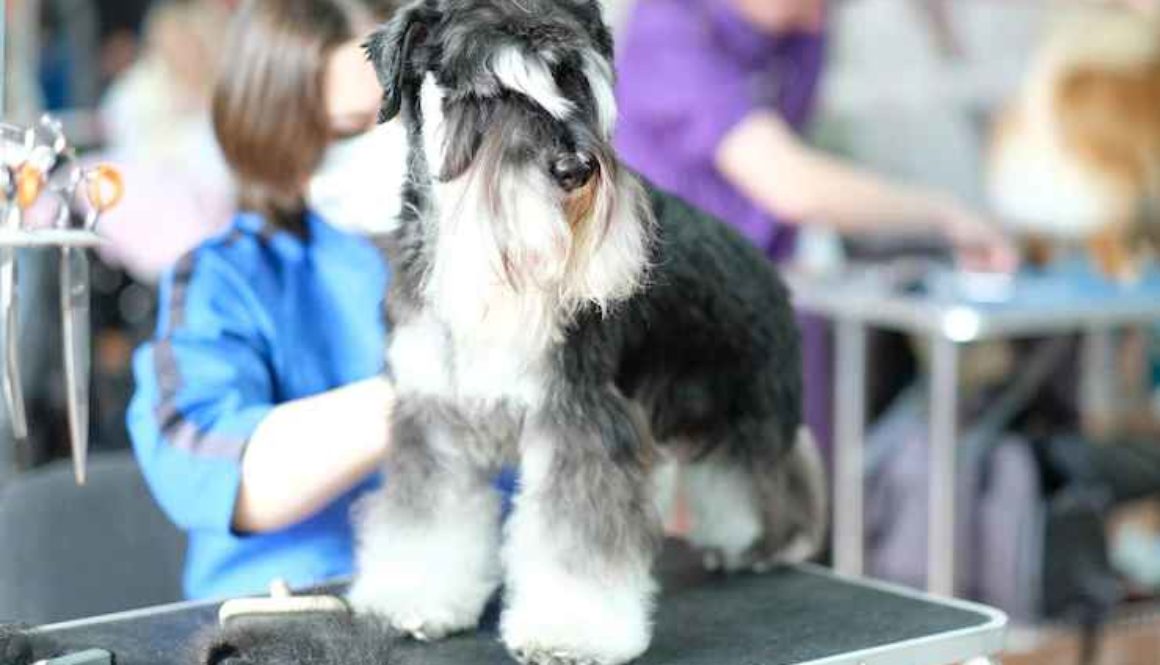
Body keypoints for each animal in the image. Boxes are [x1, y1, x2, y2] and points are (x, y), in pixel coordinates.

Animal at [336, 0, 825, 659]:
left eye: (572, 79)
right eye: (485, 92)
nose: (574, 168)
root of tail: (763, 264)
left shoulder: (579, 420)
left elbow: (576, 538)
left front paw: (570, 631)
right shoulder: (434, 415)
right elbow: (428, 518)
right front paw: (416, 596)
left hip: (747, 407)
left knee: (767, 468)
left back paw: (768, 541)